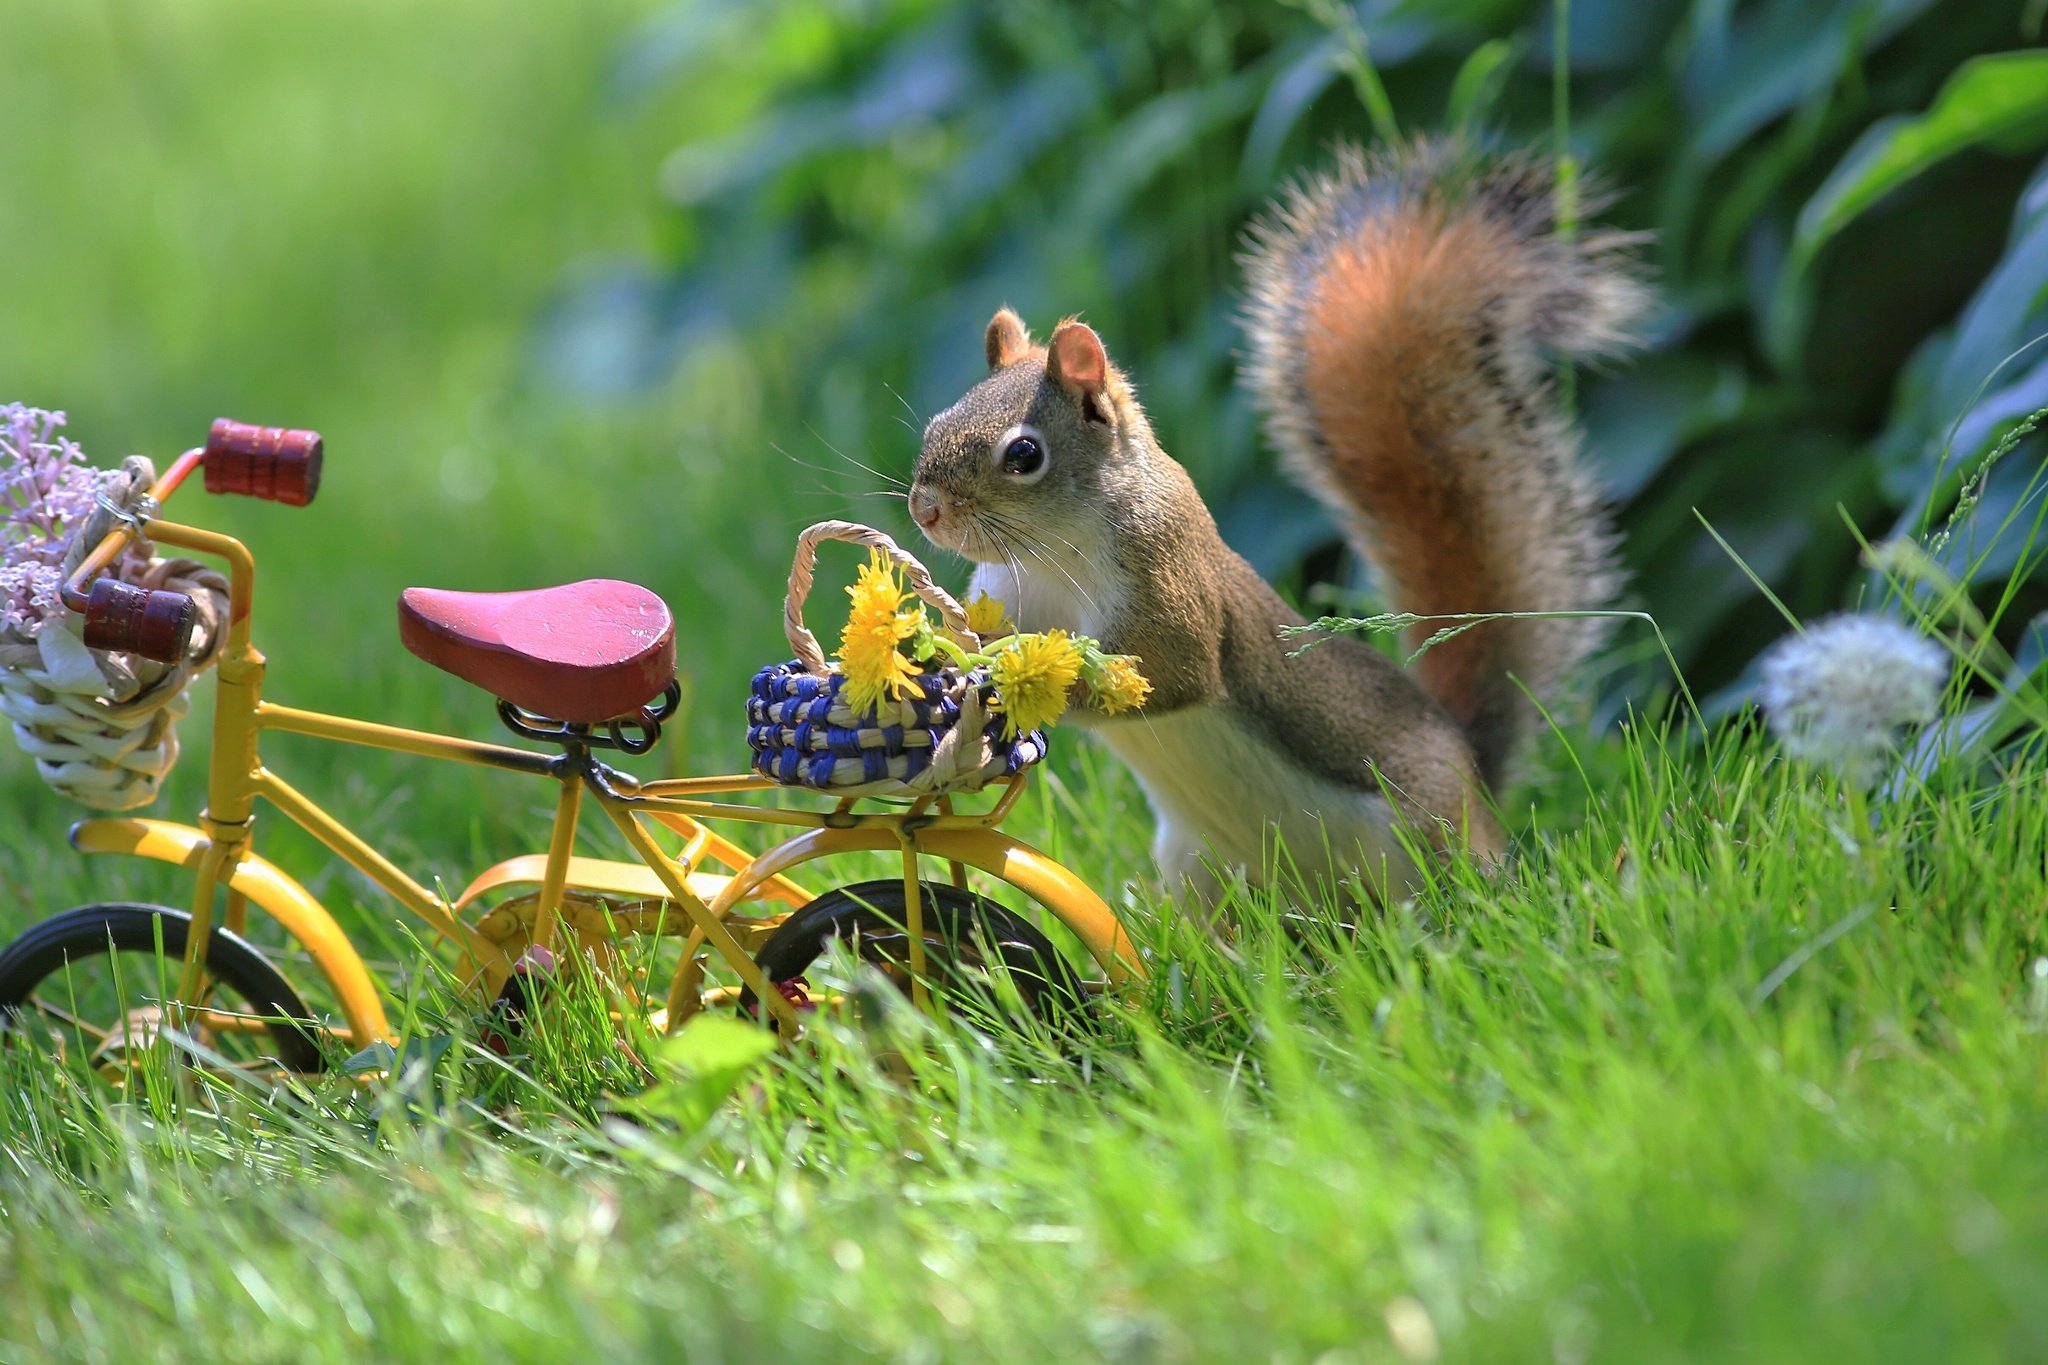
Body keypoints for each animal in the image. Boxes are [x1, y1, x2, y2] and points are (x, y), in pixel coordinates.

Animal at [913, 144, 1646, 900]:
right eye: (938, 421)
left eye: (1024, 455)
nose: (924, 509)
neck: (1051, 553)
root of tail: (1476, 782)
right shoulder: (1009, 591)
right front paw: (937, 655)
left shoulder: (1169, 582)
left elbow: (1169, 672)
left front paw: (1006, 681)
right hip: (1198, 867)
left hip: (1427, 836)